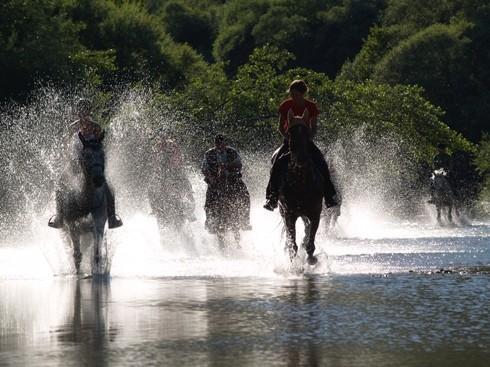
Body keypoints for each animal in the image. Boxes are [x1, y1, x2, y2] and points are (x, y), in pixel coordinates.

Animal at [59, 134, 110, 274]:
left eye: (103, 154)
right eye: (86, 156)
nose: (98, 179)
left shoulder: (98, 222)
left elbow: (97, 252)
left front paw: (99, 270)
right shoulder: (71, 225)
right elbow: (77, 255)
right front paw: (77, 272)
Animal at [278, 119, 324, 266]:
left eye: (307, 137)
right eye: (291, 140)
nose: (301, 159)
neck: (301, 184)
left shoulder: (315, 213)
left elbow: (311, 235)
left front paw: (311, 257)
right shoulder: (289, 214)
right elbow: (292, 242)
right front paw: (294, 264)